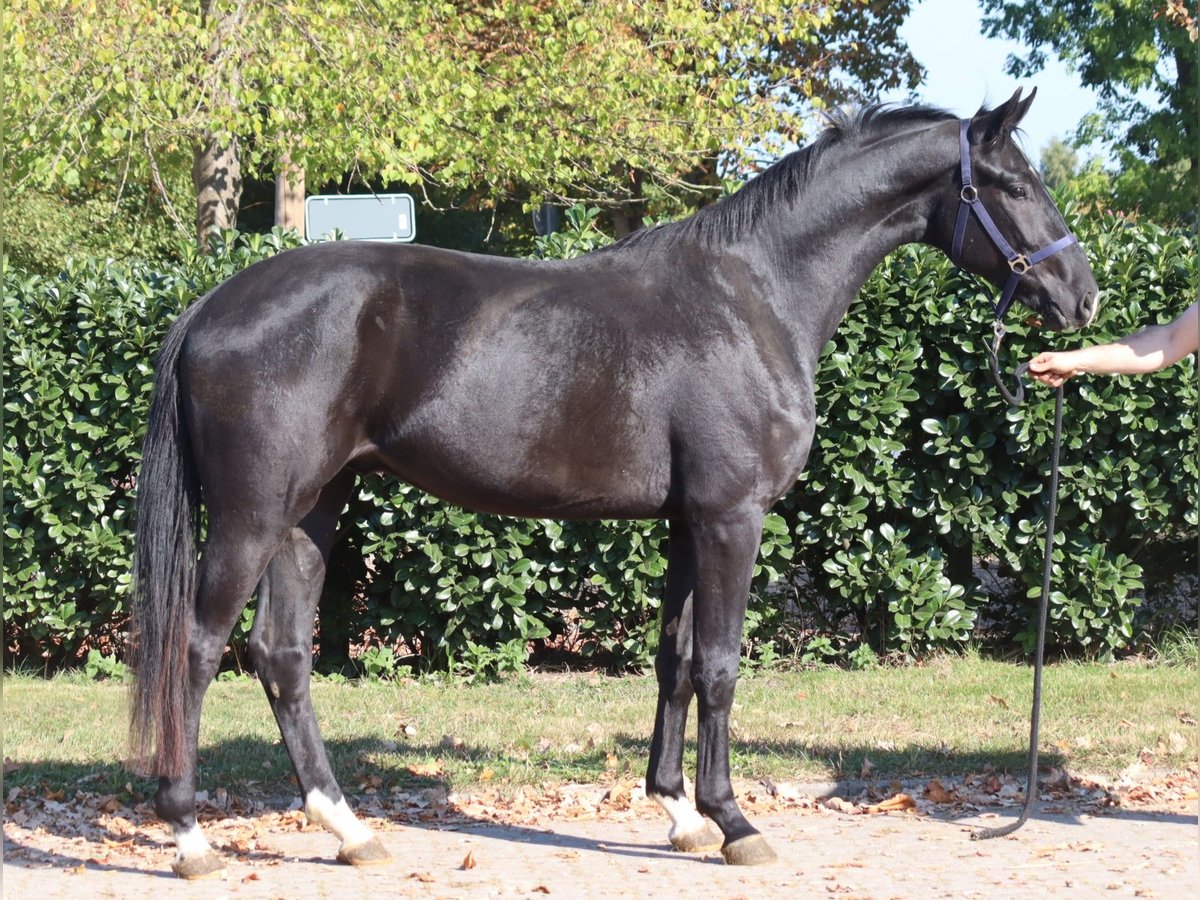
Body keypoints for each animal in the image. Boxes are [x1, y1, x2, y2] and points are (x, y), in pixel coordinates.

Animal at [129, 88, 1097, 878]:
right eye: (1012, 184)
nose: (1081, 297)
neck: (752, 295)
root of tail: (211, 305)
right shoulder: (731, 519)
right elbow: (720, 665)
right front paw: (735, 821)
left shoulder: (687, 523)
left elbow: (674, 660)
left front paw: (679, 814)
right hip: (253, 515)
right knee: (198, 648)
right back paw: (189, 835)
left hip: (311, 513)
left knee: (282, 655)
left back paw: (350, 831)